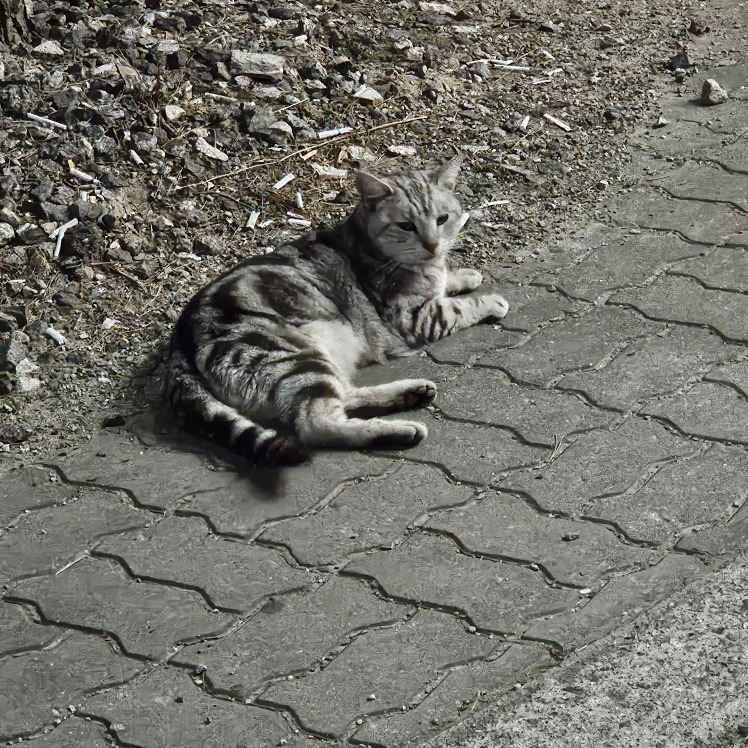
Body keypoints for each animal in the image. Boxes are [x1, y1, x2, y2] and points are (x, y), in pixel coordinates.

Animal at [165, 156, 508, 462]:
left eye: (442, 219)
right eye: (406, 226)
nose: (433, 245)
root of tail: (178, 345)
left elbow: (445, 283)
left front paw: (462, 275)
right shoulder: (416, 317)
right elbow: (458, 308)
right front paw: (491, 300)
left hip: (315, 362)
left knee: (343, 397)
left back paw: (411, 392)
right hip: (296, 358)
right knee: (317, 423)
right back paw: (400, 429)